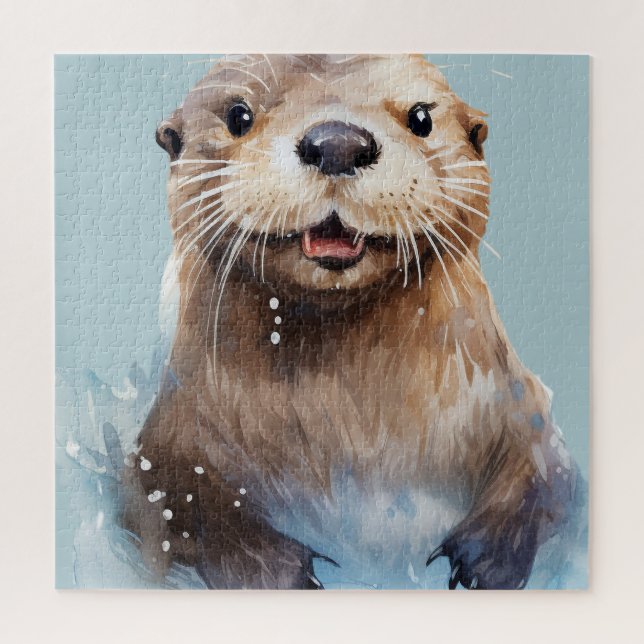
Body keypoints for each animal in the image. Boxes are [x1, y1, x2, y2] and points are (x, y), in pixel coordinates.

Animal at [123, 54, 580, 590]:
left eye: (420, 118)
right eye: (238, 115)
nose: (337, 142)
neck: (350, 431)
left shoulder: (518, 401)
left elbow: (546, 475)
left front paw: (486, 558)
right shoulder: (166, 437)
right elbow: (179, 499)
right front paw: (274, 569)